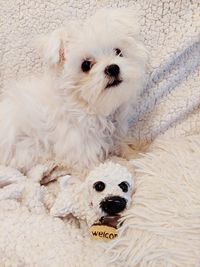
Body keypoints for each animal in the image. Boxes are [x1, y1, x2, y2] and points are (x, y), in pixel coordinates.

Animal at [0, 7, 147, 174]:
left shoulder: (112, 136)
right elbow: (102, 167)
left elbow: (122, 146)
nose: (113, 68)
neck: (87, 106)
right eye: (85, 65)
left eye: (118, 52)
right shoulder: (81, 151)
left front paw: (137, 154)